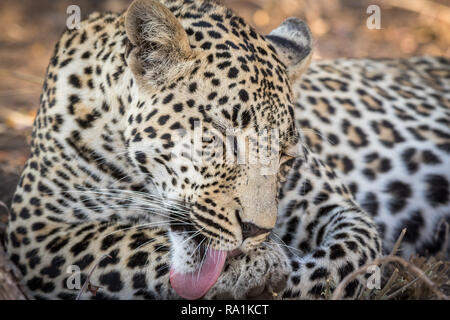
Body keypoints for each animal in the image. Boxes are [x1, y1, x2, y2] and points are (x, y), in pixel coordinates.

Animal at [4, 0, 450, 300]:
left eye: (285, 157)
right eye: (219, 136)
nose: (256, 231)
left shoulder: (338, 206)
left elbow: (348, 257)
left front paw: (268, 269)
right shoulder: (37, 228)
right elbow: (125, 241)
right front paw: (258, 265)